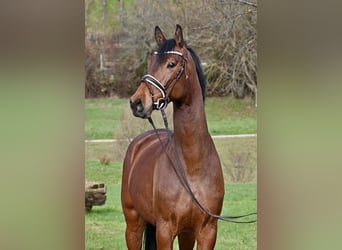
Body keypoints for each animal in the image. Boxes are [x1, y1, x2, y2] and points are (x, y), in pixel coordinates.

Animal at [121, 23, 224, 250]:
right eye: (150, 63)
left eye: (171, 64)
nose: (136, 102)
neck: (192, 167)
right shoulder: (165, 230)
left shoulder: (205, 232)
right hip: (133, 225)